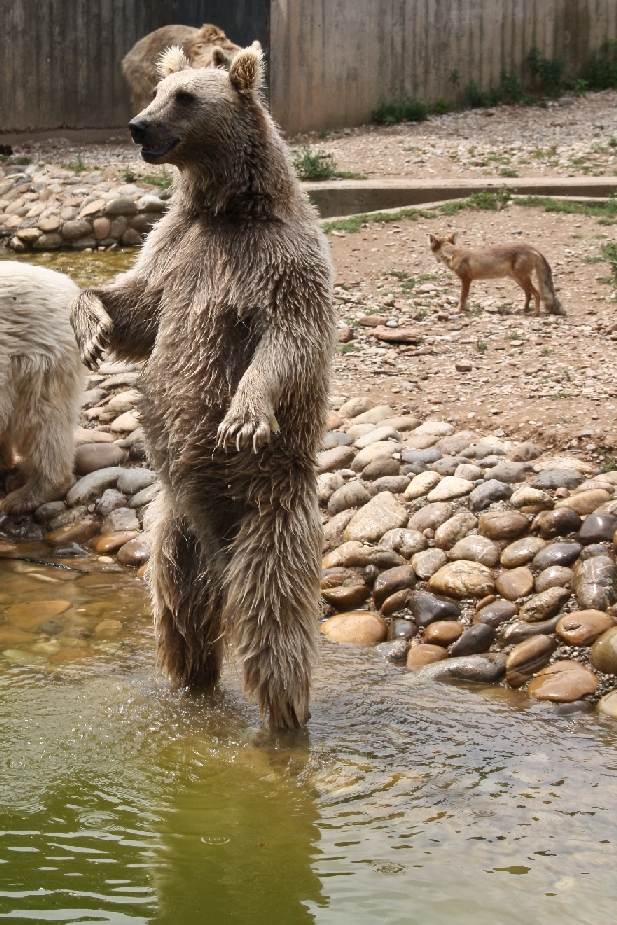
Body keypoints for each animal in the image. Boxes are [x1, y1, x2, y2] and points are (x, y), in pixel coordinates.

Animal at [71, 45, 336, 728]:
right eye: (159, 90)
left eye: (186, 97)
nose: (137, 126)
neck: (228, 209)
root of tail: (220, 548)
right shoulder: (174, 249)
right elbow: (138, 309)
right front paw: (91, 325)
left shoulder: (277, 262)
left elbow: (289, 338)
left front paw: (244, 414)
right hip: (173, 529)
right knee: (182, 614)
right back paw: (190, 685)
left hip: (270, 509)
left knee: (274, 622)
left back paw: (285, 717)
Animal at [428, 233, 564, 316]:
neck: (453, 254)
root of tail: (532, 248)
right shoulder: (467, 281)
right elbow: (465, 297)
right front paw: (464, 309)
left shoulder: (466, 280)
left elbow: (462, 297)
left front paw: (458, 310)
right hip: (519, 280)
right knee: (528, 294)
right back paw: (524, 310)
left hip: (522, 279)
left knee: (537, 294)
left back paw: (535, 313)